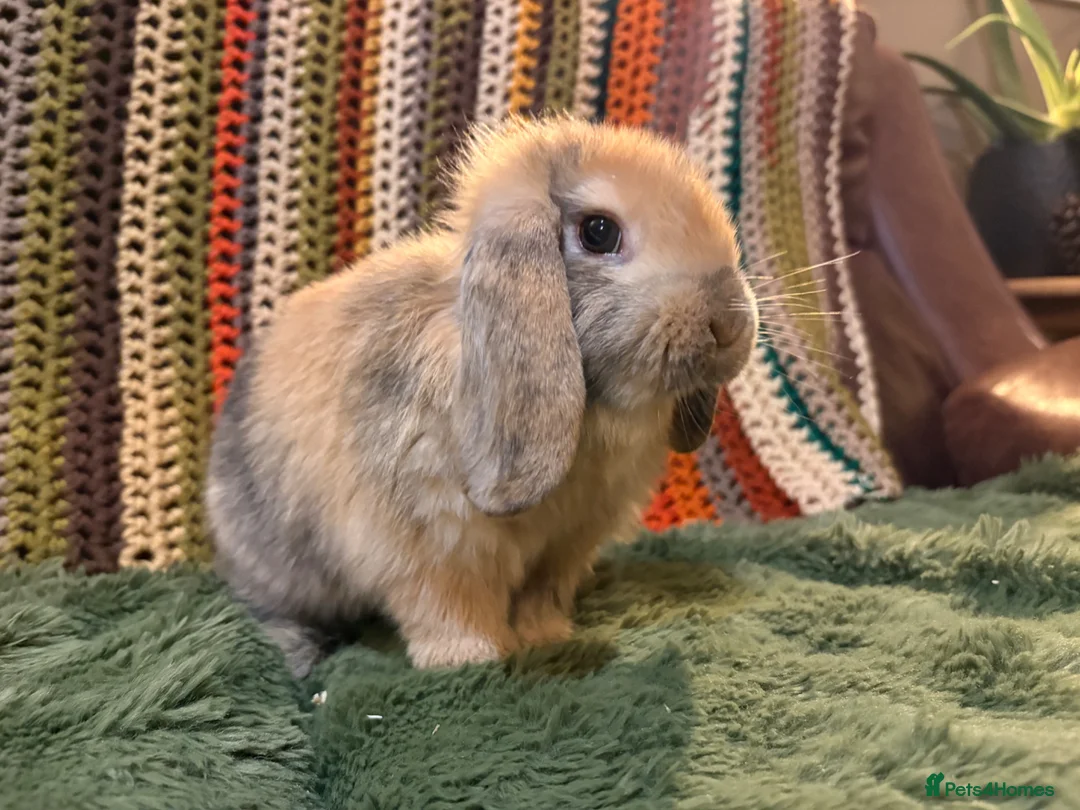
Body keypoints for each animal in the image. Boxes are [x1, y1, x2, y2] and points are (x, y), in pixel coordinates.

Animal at [205, 114, 759, 679]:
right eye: (599, 232)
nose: (730, 323)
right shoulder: (432, 544)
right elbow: (447, 605)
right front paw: (469, 659)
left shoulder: (565, 545)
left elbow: (540, 596)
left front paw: (547, 638)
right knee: (265, 606)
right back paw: (302, 652)